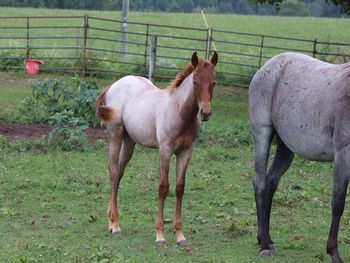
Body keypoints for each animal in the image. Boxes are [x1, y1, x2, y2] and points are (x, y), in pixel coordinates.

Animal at [94, 52, 217, 246]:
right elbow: (163, 188)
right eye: (195, 82)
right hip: (115, 135)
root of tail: (113, 85)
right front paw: (160, 235)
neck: (179, 111)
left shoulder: (186, 152)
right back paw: (116, 225)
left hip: (129, 141)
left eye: (214, 82)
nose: (205, 112)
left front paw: (180, 236)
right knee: (113, 171)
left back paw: (110, 221)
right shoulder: (165, 150)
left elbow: (180, 188)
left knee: (118, 172)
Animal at [247, 52, 350, 263]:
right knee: (260, 183)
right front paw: (334, 252)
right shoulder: (343, 155)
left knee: (270, 182)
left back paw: (267, 238)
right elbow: (338, 204)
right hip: (261, 135)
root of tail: (267, 66)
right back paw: (264, 245)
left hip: (285, 148)